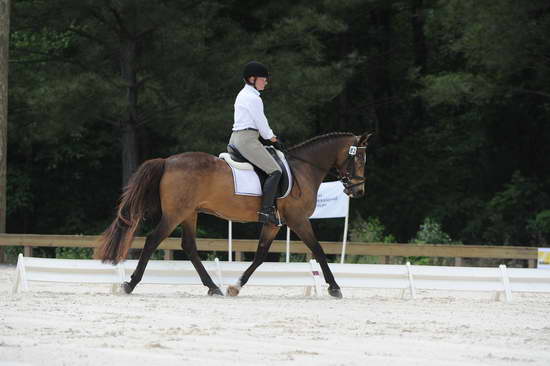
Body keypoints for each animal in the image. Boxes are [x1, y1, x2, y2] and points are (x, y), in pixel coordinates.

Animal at [97, 132, 374, 298]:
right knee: (153, 240)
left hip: (189, 213)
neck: (304, 168)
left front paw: (234, 286)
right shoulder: (298, 220)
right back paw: (130, 284)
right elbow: (318, 250)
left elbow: (261, 254)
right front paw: (335, 287)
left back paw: (213, 287)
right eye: (359, 158)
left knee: (189, 247)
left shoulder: (274, 224)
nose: (359, 191)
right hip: (175, 214)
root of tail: (167, 161)